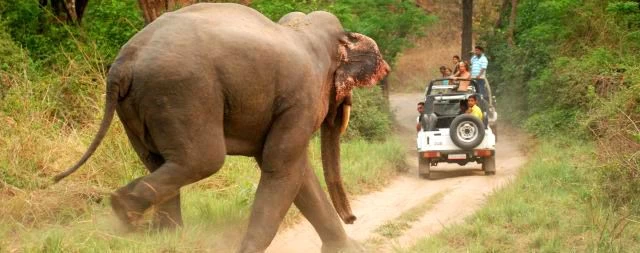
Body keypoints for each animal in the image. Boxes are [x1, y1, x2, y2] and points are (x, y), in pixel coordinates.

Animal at [53, 2, 390, 253]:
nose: (353, 218)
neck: (305, 30)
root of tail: (124, 62)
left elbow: (295, 171)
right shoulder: (300, 99)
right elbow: (283, 167)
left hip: (141, 105)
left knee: (158, 160)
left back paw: (163, 235)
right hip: (182, 92)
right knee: (203, 159)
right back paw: (125, 210)